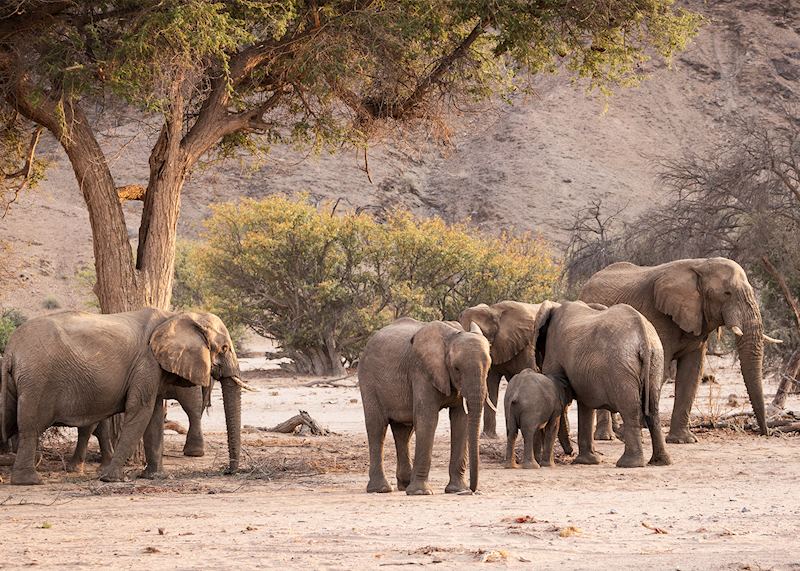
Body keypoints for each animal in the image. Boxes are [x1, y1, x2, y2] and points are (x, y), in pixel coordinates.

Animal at [1, 308, 244, 485]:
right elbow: (140, 411)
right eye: (224, 348)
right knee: (30, 427)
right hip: (38, 382)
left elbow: (154, 416)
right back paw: (30, 481)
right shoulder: (147, 362)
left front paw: (155, 477)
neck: (176, 316)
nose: (228, 471)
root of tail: (11, 350)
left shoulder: (153, 368)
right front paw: (111, 478)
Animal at [358, 318, 491, 495]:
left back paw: (404, 485)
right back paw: (381, 489)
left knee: (403, 430)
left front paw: (456, 490)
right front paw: (420, 492)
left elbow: (460, 421)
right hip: (368, 379)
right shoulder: (421, 372)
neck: (451, 336)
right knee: (377, 426)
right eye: (456, 368)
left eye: (489, 367)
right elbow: (428, 419)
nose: (472, 490)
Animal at [458, 301, 573, 454]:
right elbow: (491, 384)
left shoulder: (525, 345)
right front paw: (488, 436)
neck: (494, 311)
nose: (571, 452)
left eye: (485, 336)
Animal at [531, 300, 671, 468]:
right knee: (653, 408)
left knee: (630, 409)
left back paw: (628, 463)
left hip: (621, 366)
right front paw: (588, 461)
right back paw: (660, 461)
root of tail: (642, 332)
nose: (569, 453)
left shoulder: (554, 353)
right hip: (656, 359)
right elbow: (585, 404)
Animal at [580, 257, 776, 443]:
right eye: (727, 293)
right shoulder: (658, 316)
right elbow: (658, 370)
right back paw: (607, 436)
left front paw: (682, 440)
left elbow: (692, 372)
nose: (764, 433)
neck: (700, 265)